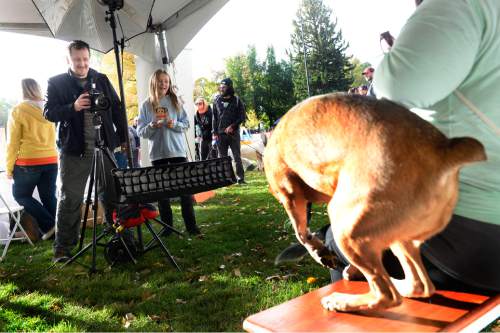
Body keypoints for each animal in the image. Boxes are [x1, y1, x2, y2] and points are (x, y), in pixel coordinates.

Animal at [264, 93, 486, 312]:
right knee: (419, 284)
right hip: (399, 238)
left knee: (386, 295)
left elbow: (301, 232)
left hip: (345, 227)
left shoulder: (289, 194)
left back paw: (342, 301)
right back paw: (394, 282)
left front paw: (319, 252)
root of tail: (443, 151)